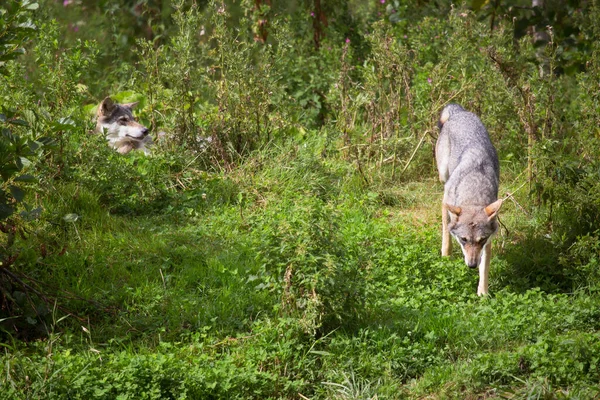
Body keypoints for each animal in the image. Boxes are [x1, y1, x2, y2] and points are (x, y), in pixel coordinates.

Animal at [436, 104, 502, 296]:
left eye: (481, 240)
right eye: (463, 239)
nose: (472, 265)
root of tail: (459, 112)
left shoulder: (488, 242)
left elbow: (485, 267)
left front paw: (483, 293)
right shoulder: (447, 202)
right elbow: (446, 233)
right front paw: (446, 256)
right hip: (443, 176)